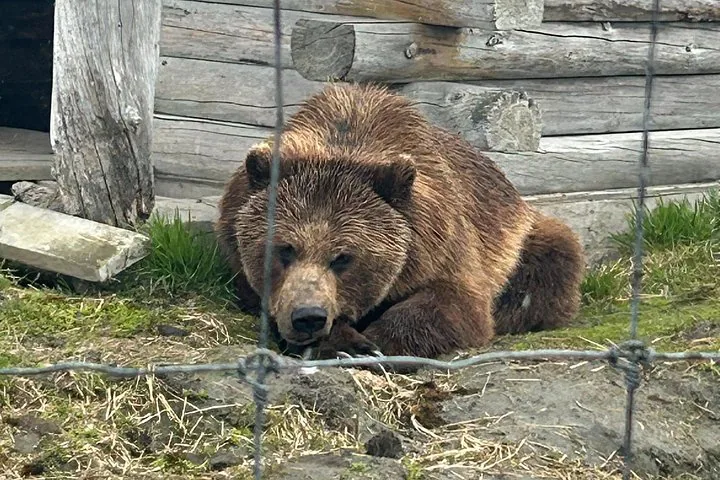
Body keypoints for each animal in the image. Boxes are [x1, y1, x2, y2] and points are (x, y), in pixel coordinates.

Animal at [215, 82, 586, 363]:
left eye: (344, 257)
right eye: (285, 249)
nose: (308, 317)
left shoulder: (441, 243)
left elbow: (455, 303)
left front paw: (374, 342)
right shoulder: (239, 251)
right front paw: (346, 343)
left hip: (521, 236)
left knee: (554, 255)